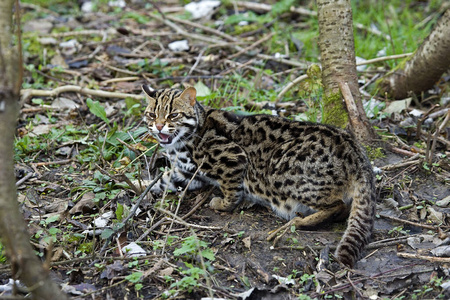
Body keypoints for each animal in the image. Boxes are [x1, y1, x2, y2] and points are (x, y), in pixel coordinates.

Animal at [142, 85, 374, 268]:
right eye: (152, 115)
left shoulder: (233, 156)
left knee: (338, 205)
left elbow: (231, 190)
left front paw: (223, 204)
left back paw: (298, 222)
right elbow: (161, 180)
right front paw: (140, 188)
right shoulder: (185, 172)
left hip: (280, 168)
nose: (159, 126)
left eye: (173, 115)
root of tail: (355, 151)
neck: (181, 143)